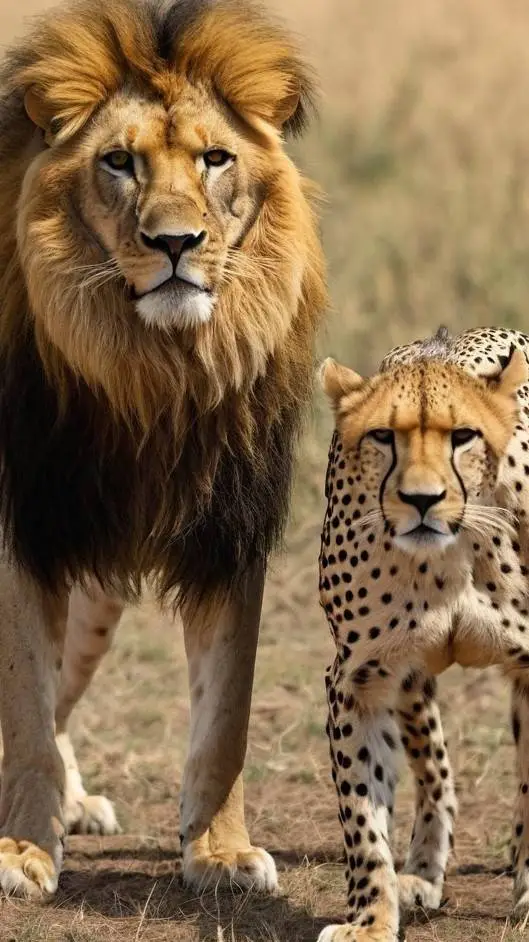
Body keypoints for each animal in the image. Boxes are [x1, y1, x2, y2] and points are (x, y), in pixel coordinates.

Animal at [0, 0, 326, 899]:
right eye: (119, 162)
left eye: (215, 159)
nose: (176, 242)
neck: (155, 373)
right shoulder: (26, 526)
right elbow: (24, 716)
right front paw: (23, 850)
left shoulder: (228, 533)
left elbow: (225, 718)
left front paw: (219, 851)